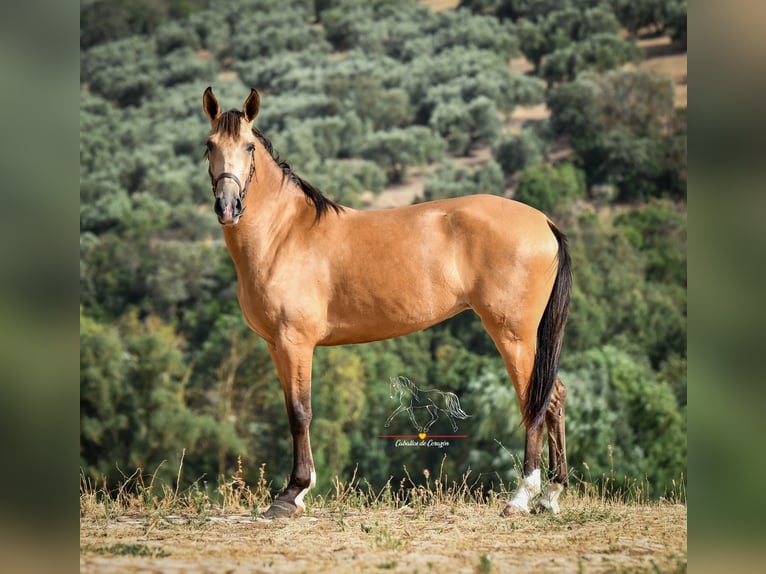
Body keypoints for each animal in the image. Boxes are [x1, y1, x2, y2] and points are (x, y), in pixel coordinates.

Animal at [201, 88, 572, 520]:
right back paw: (551, 495)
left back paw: (523, 497)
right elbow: (292, 411)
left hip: (514, 334)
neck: (285, 234)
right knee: (554, 397)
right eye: (209, 146)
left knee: (535, 400)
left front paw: (292, 494)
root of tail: (543, 221)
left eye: (248, 146)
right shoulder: (276, 346)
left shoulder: (296, 343)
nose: (228, 207)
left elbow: (300, 413)